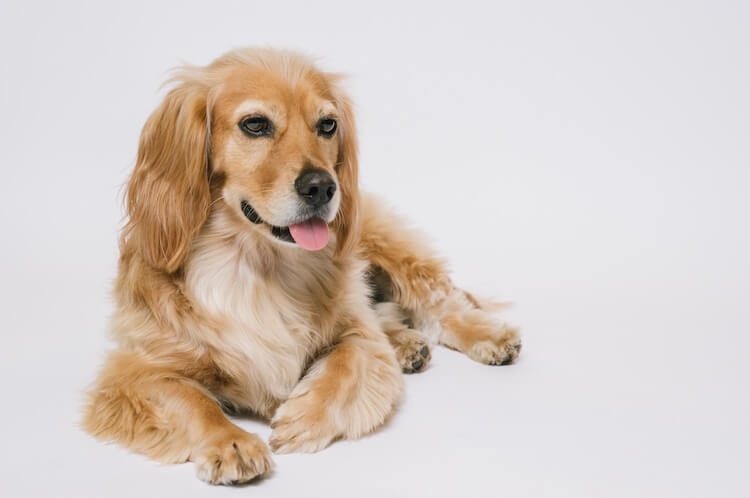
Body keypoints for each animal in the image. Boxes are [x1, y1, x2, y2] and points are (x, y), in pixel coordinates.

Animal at [81, 48, 516, 484]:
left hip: (383, 244)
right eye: (255, 125)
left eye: (327, 124)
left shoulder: (357, 334)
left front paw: (305, 417)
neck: (256, 265)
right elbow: (192, 402)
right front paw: (230, 441)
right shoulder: (132, 373)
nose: (322, 187)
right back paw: (408, 344)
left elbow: (347, 362)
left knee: (439, 302)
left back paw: (486, 336)